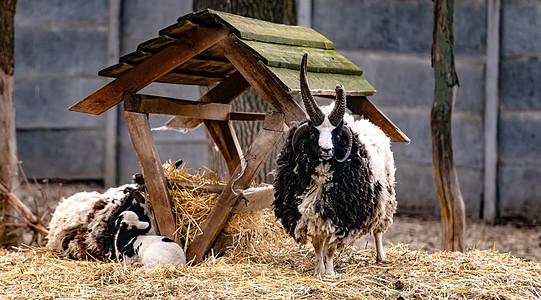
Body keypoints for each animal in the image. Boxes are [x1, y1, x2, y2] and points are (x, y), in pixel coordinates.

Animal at [272, 52, 394, 276]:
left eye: (337, 133)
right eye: (313, 132)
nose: (326, 150)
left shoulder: (341, 217)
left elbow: (329, 247)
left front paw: (329, 273)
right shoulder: (310, 215)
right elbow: (318, 245)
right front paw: (318, 271)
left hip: (384, 198)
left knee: (378, 231)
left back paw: (380, 257)